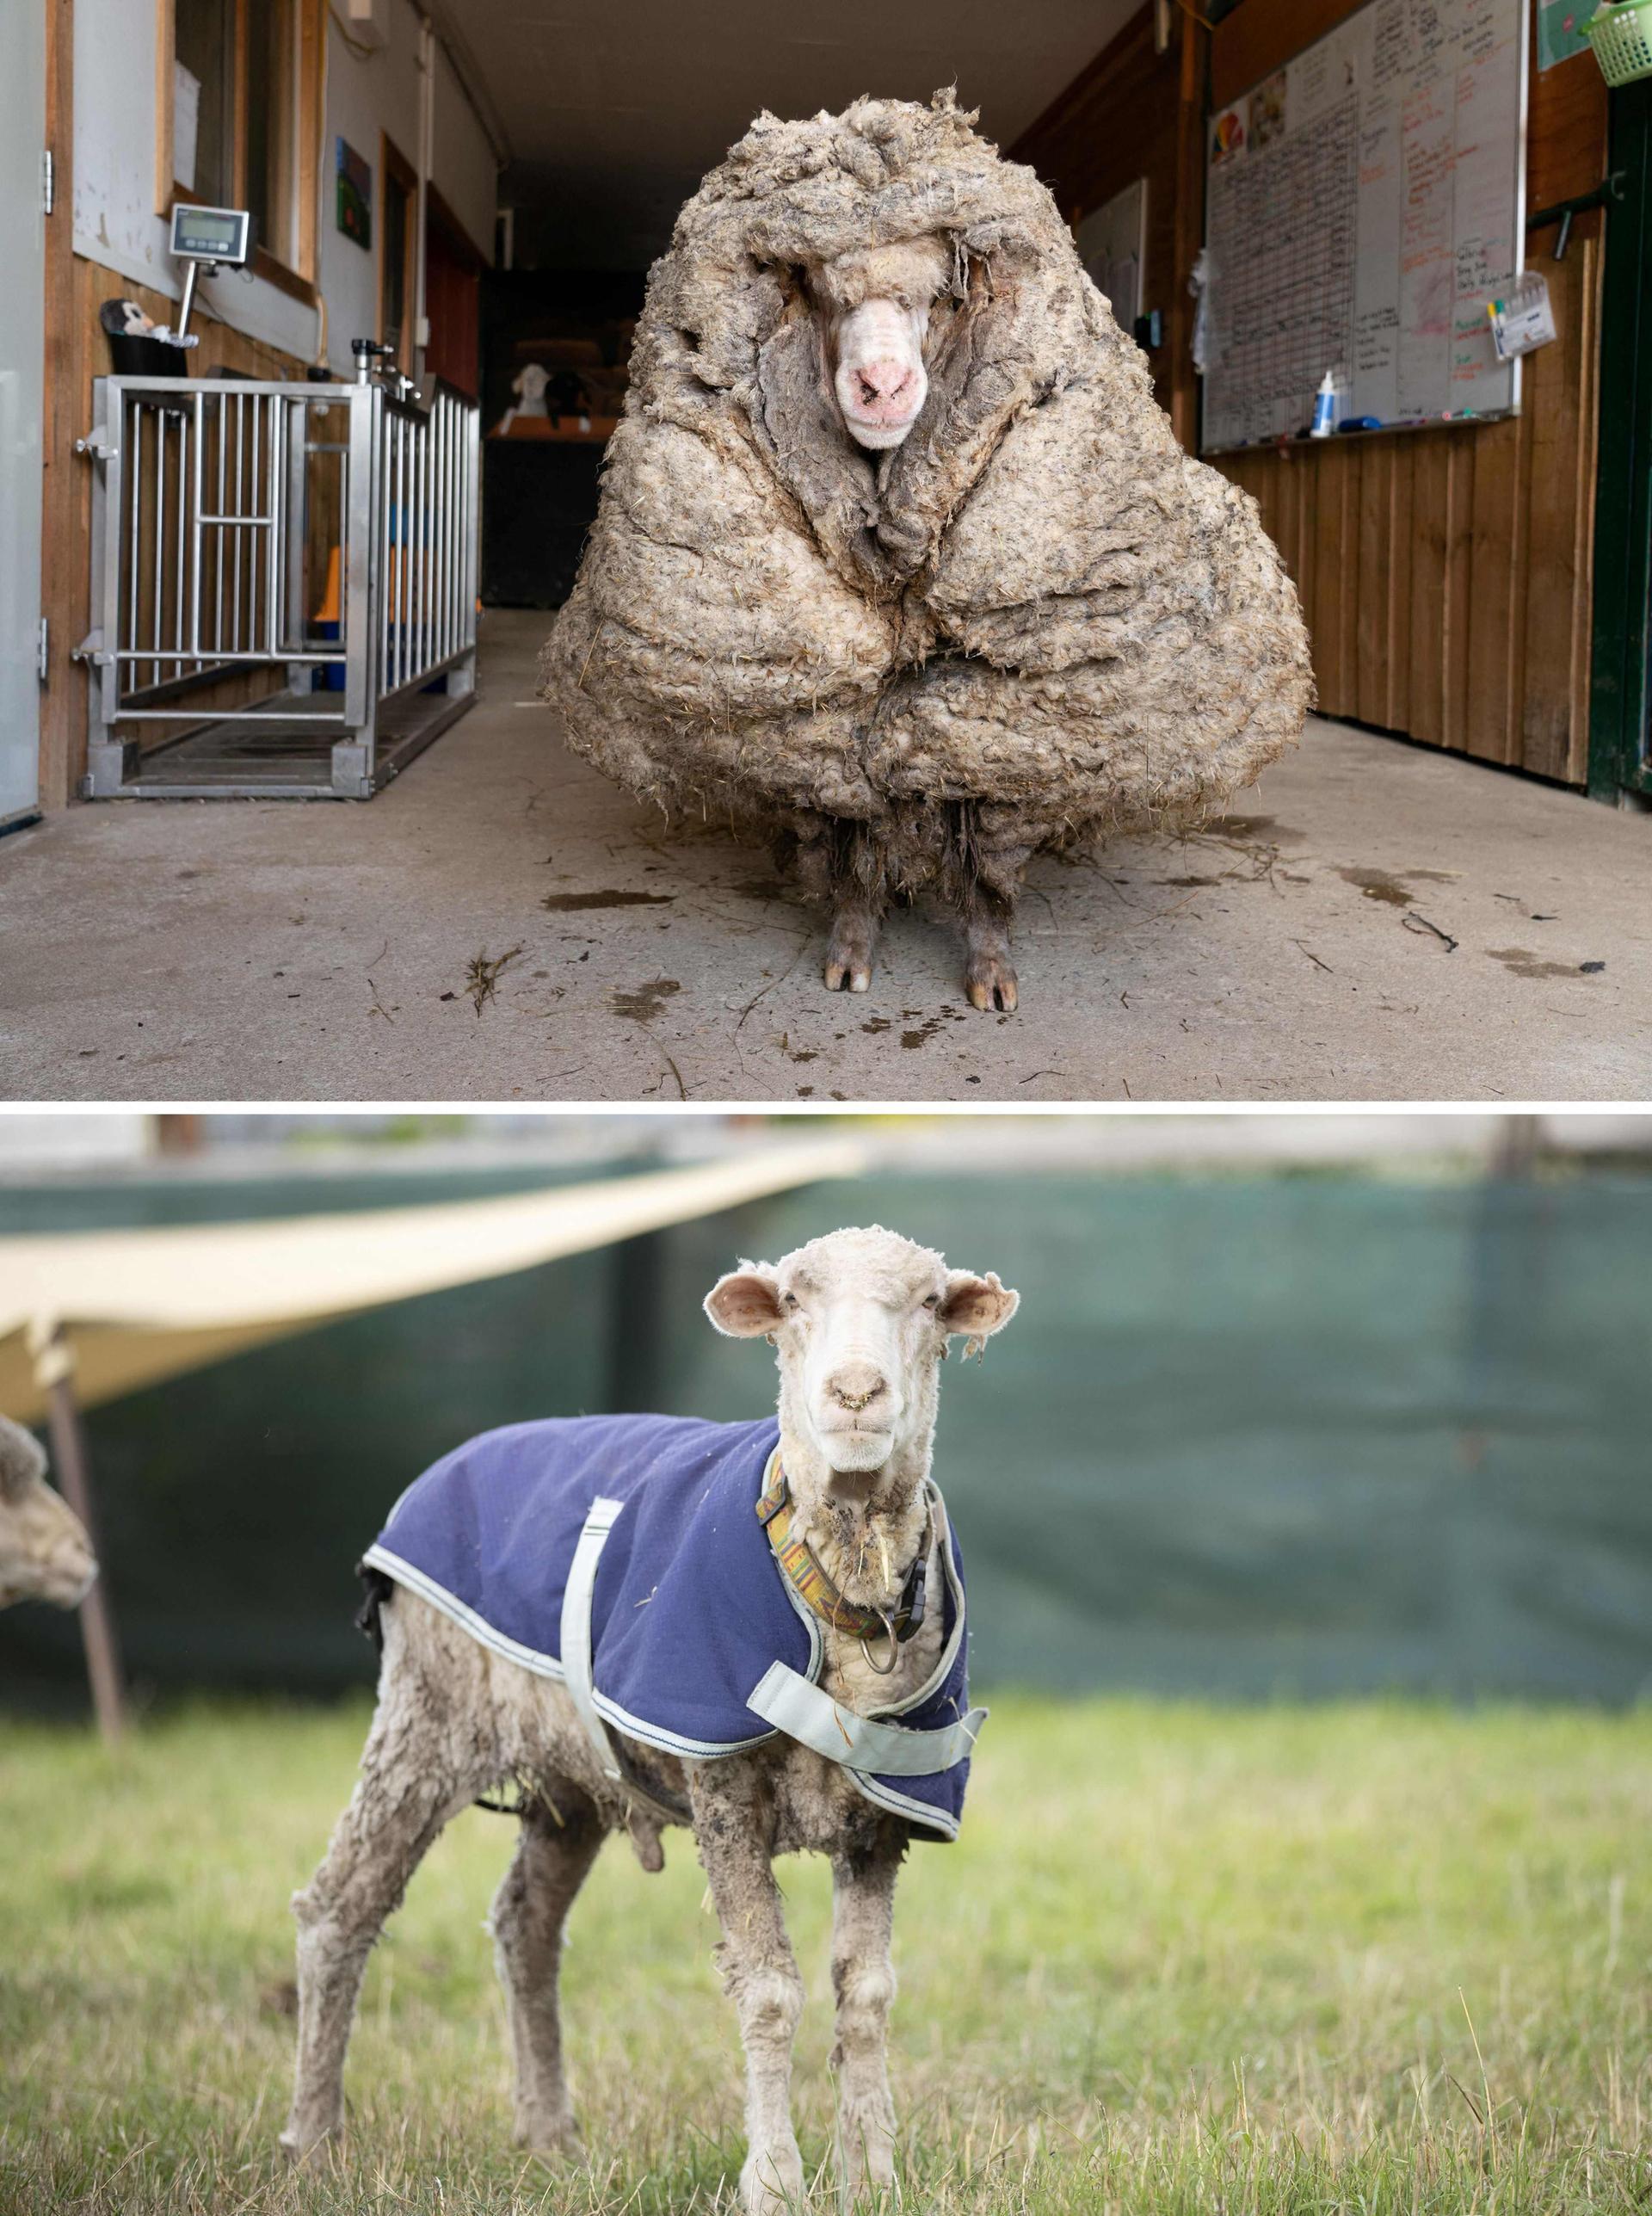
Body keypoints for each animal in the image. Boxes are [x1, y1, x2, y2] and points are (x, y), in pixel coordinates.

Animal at [280, 1225, 1018, 2214]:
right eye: (793, 1300)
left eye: (932, 1304)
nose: (857, 1393)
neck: (841, 1583)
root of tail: (454, 1460)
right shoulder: (723, 1786)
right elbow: (770, 1990)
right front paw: (775, 2180)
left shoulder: (881, 1817)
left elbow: (865, 1993)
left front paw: (873, 2174)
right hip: (426, 1713)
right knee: (340, 1907)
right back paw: (314, 2139)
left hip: (567, 1774)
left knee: (525, 1924)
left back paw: (549, 2135)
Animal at [541, 88, 1313, 1013]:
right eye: (819, 292)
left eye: (939, 299)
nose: (881, 387)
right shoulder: (817, 723)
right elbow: (846, 834)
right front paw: (851, 946)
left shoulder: (1005, 716)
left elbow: (985, 852)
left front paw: (990, 966)